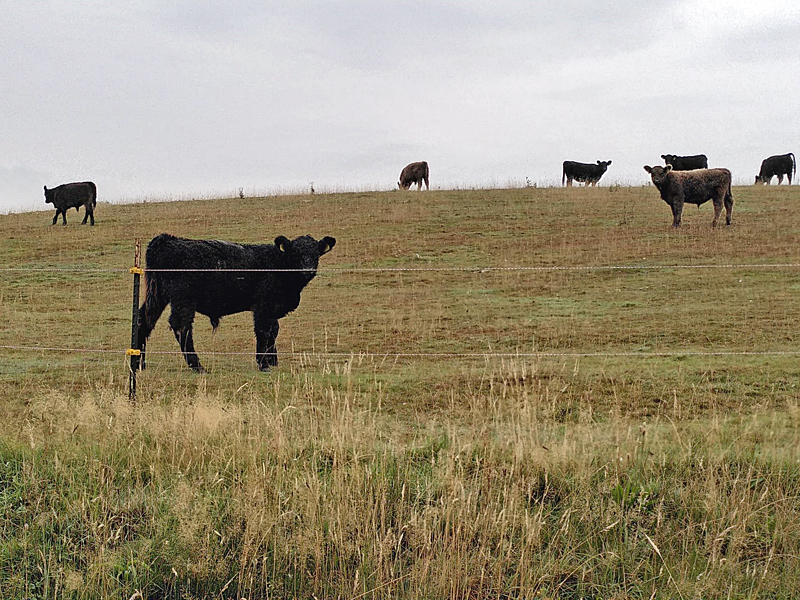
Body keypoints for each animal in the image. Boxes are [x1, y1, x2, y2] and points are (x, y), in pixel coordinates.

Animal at [136, 232, 336, 372]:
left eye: (316, 254)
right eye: (295, 253)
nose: (308, 270)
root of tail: (168, 239)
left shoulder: (272, 308)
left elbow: (274, 331)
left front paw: (273, 360)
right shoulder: (263, 307)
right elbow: (264, 332)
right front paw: (263, 363)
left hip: (158, 295)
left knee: (143, 320)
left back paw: (139, 362)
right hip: (183, 300)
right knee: (182, 327)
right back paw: (197, 366)